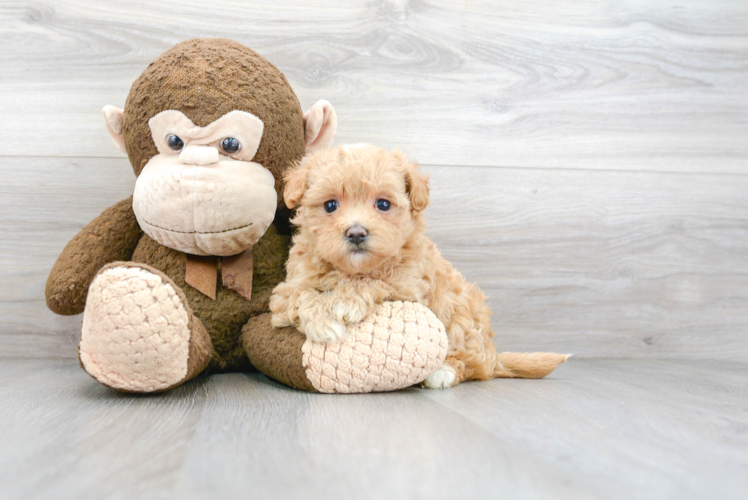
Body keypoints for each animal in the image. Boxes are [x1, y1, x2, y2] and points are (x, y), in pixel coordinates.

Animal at [272, 144, 568, 386]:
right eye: (330, 205)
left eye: (383, 204)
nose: (356, 233)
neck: (352, 269)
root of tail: (494, 357)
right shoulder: (288, 289)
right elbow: (301, 296)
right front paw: (323, 323)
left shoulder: (408, 290)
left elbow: (375, 282)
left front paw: (345, 301)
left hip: (463, 321)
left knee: (472, 365)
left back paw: (443, 372)